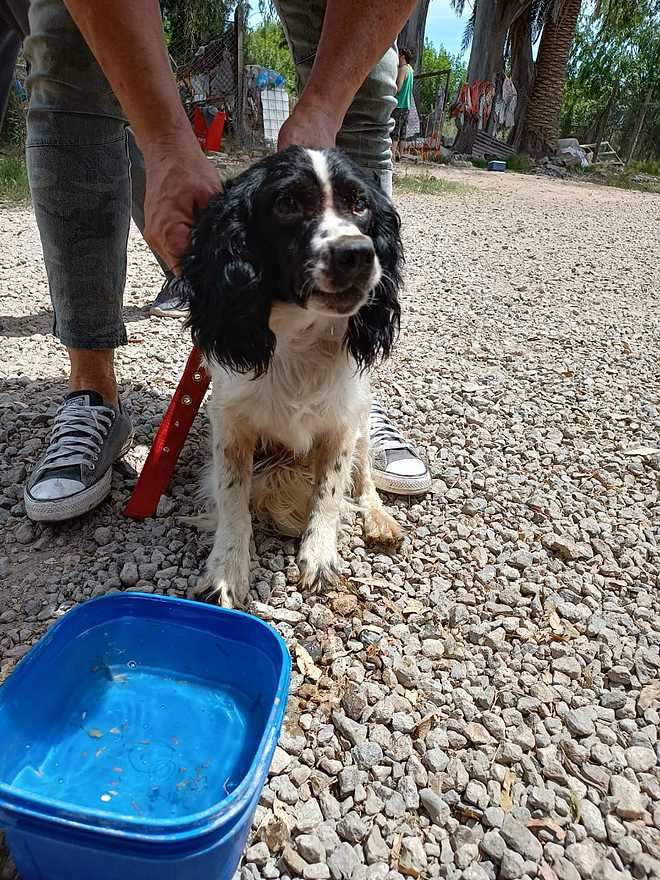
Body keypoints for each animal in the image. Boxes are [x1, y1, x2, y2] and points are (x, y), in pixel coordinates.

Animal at [183, 146, 404, 612]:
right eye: (287, 204)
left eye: (360, 204)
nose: (358, 253)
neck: (300, 338)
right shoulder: (231, 424)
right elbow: (232, 496)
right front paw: (226, 569)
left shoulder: (341, 423)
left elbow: (331, 490)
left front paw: (319, 556)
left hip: (361, 424)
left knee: (365, 477)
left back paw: (379, 518)